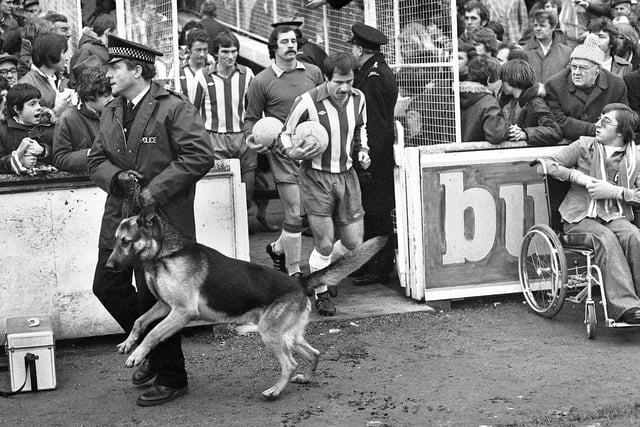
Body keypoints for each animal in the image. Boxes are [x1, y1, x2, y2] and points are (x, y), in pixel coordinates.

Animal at [107, 207, 384, 402]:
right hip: (286, 335)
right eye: (116, 240)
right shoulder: (165, 307)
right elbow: (139, 321)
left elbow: (153, 333)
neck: (164, 253)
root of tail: (300, 282)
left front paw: (136, 355)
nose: (108, 266)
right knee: (313, 353)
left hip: (270, 334)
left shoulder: (182, 313)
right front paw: (128, 343)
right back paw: (305, 378)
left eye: (125, 241)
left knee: (290, 363)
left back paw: (275, 391)